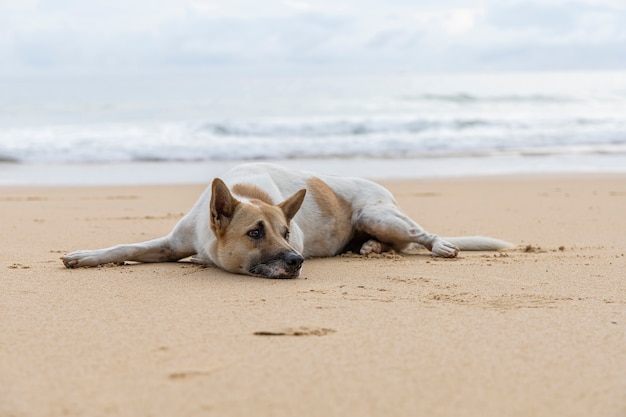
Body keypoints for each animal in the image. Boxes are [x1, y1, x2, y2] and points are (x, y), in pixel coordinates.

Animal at [62, 162, 512, 276]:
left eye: (286, 232)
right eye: (254, 233)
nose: (297, 262)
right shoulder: (174, 243)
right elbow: (127, 246)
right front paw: (86, 256)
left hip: (378, 213)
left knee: (419, 234)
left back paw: (439, 245)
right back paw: (367, 248)